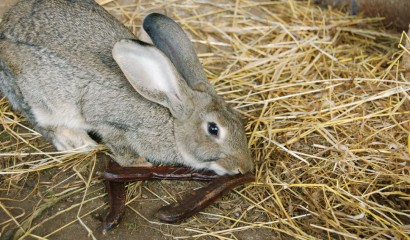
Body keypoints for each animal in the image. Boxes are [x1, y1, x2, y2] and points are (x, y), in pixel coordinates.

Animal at [0, 0, 253, 176]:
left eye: (238, 119)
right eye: (213, 129)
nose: (244, 168)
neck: (170, 120)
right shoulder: (110, 122)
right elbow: (121, 148)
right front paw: (141, 163)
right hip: (38, 97)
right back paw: (76, 141)